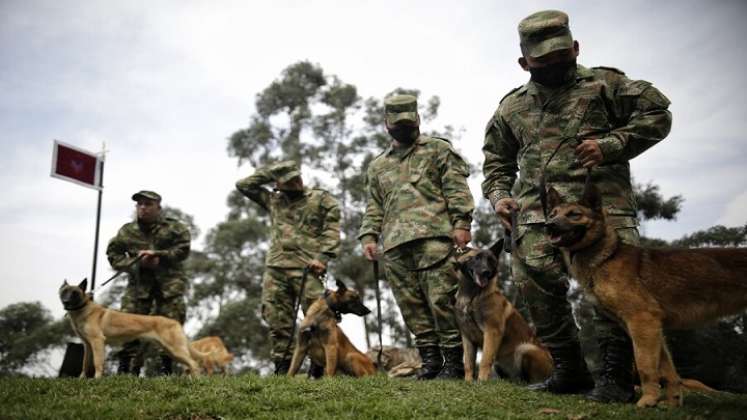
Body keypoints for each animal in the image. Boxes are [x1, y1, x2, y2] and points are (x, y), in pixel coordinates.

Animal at [58, 278, 207, 378]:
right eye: (64, 292)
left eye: (75, 293)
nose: (66, 302)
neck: (84, 310)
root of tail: (174, 322)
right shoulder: (88, 345)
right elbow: (85, 364)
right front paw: (82, 379)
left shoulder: (98, 341)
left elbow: (97, 363)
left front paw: (97, 379)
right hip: (170, 351)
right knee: (190, 364)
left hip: (175, 349)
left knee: (194, 364)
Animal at [456, 243, 556, 384]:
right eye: (476, 258)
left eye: (490, 261)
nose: (486, 272)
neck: (472, 296)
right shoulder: (467, 337)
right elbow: (468, 363)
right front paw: (468, 382)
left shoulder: (492, 332)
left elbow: (485, 360)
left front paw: (481, 382)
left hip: (524, 348)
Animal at [544, 185, 747, 406]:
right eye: (553, 214)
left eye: (574, 214)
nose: (549, 225)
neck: (607, 258)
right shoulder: (652, 328)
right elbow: (667, 371)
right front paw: (671, 403)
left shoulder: (642, 321)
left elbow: (645, 366)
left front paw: (647, 400)